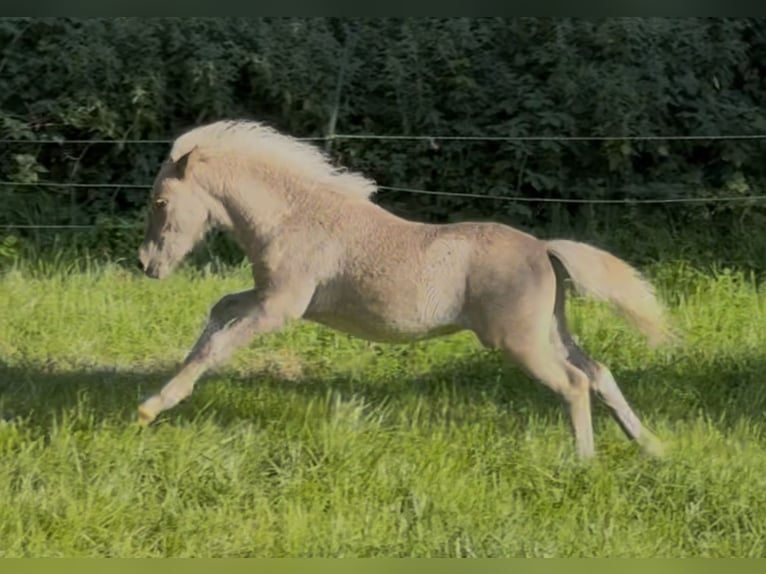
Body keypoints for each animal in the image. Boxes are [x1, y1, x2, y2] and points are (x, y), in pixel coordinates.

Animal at [137, 119, 671, 459]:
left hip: (519, 342)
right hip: (550, 331)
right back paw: (650, 447)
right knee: (598, 371)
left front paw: (150, 408)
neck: (294, 217)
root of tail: (544, 249)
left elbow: (219, 346)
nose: (145, 264)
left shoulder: (278, 308)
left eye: (160, 201)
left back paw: (583, 460)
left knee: (575, 382)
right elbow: (218, 313)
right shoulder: (267, 298)